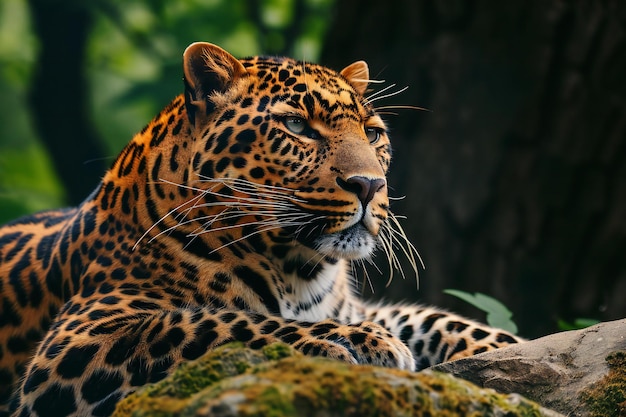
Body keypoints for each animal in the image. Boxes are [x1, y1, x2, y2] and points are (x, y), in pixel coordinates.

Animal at [0, 43, 516, 416]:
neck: (299, 269)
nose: (370, 185)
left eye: (372, 134)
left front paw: (508, 347)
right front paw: (348, 342)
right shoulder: (75, 345)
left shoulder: (354, 306)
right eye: (296, 126)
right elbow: (218, 321)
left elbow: (432, 319)